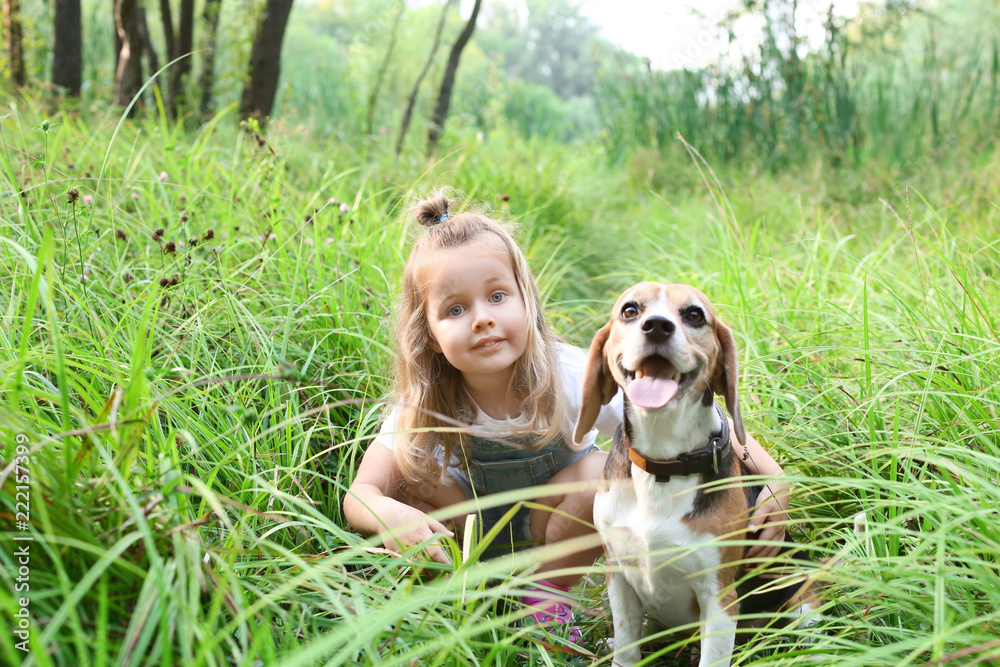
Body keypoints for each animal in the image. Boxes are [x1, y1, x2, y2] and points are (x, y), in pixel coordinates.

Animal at [576, 284, 816, 667]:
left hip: (800, 593)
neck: (662, 465)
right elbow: (627, 646)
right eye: (630, 310)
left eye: (694, 315)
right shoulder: (619, 577)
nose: (657, 327)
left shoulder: (718, 597)